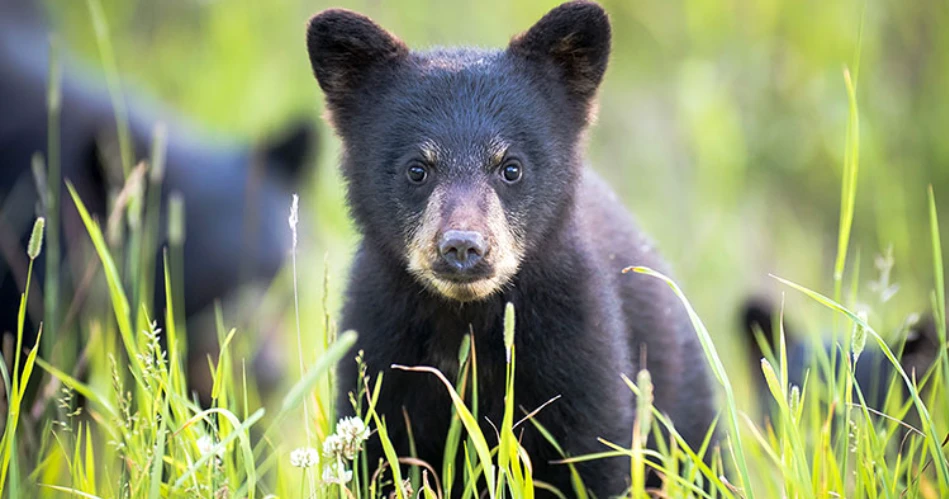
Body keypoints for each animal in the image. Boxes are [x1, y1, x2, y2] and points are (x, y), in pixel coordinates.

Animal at [305, 1, 718, 496]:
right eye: (417, 169)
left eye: (511, 167)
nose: (463, 247)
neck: (467, 324)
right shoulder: (380, 350)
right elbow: (378, 457)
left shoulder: (578, 351)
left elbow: (594, 456)